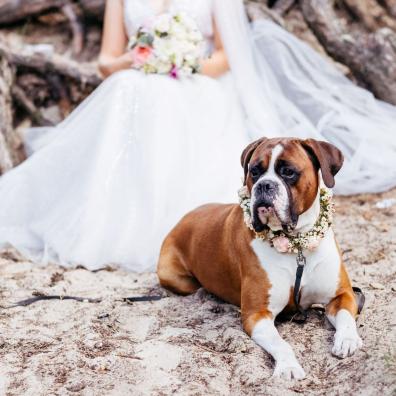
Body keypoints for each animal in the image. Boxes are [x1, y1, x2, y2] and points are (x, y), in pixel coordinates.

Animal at [156, 138, 364, 378]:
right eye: (254, 171)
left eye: (288, 172)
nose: (264, 185)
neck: (297, 246)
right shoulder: (257, 315)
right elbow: (281, 343)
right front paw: (288, 366)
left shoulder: (342, 295)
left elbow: (346, 318)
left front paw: (347, 340)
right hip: (174, 276)